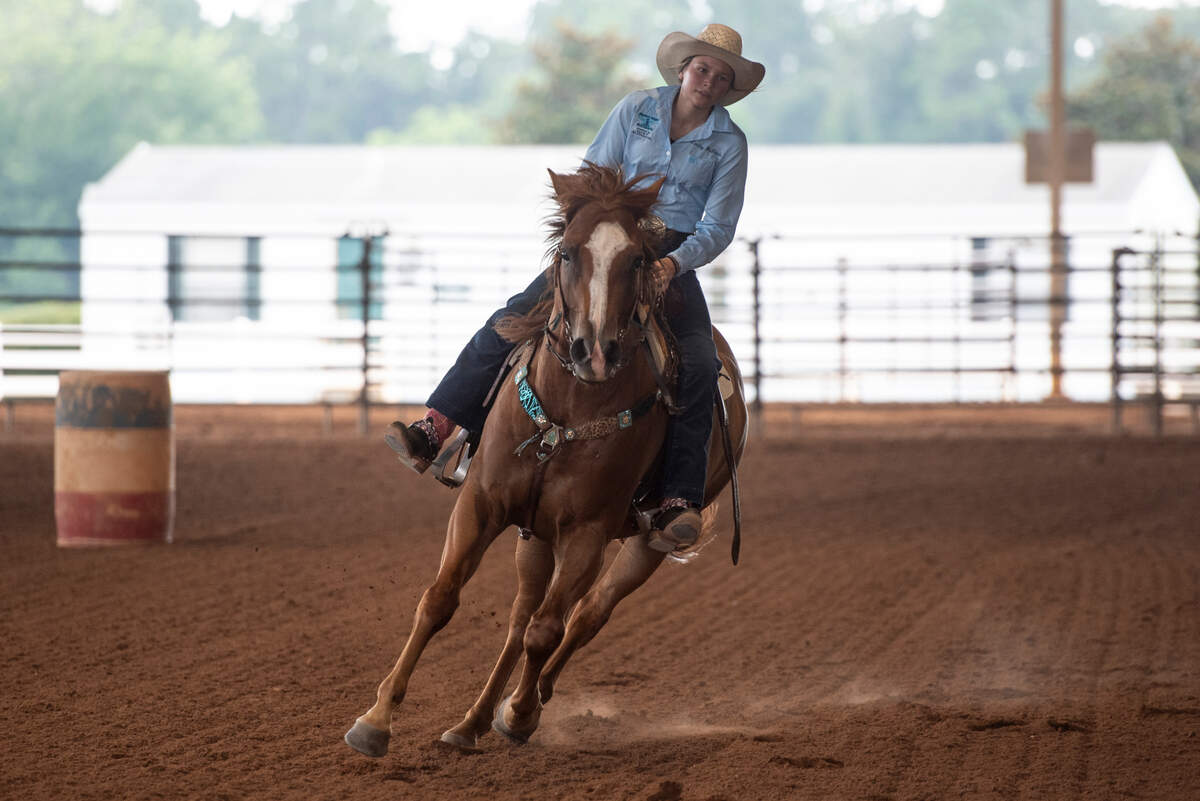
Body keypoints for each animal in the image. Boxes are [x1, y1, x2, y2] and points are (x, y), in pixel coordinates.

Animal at [344, 164, 747, 756]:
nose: (594, 352)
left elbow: (548, 630)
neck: (571, 405)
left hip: (643, 543)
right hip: (533, 534)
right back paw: (470, 723)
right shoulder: (481, 504)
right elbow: (441, 599)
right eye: (568, 253)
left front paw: (520, 714)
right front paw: (375, 721)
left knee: (584, 617)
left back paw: (522, 707)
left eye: (637, 260)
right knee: (519, 620)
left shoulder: (586, 533)